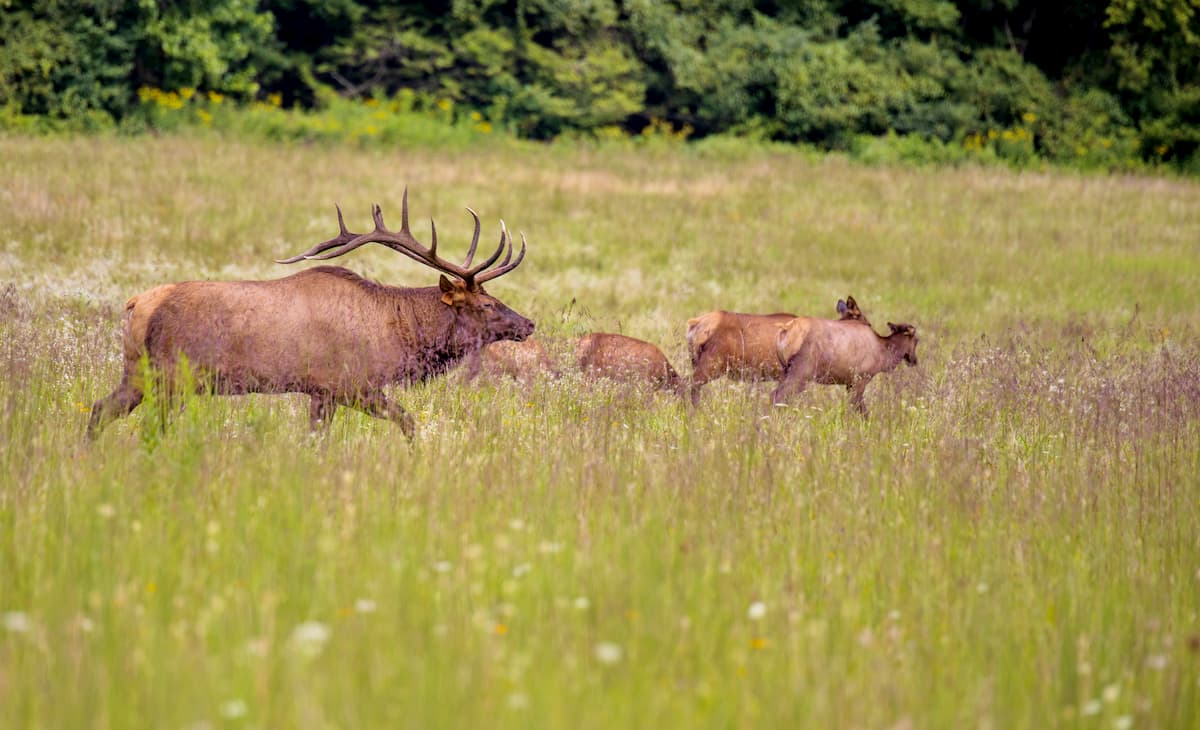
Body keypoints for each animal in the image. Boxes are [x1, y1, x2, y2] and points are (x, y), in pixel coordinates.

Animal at [87, 189, 533, 440]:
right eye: (487, 304)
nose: (529, 324)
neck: (394, 338)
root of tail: (137, 304)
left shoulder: (322, 391)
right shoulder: (346, 384)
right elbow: (406, 422)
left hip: (138, 372)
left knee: (98, 409)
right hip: (173, 377)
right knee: (147, 425)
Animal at [772, 316, 919, 416]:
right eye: (917, 340)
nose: (914, 360)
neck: (883, 355)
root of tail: (785, 331)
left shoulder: (850, 382)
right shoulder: (861, 378)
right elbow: (857, 406)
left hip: (786, 370)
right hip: (801, 371)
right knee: (778, 395)